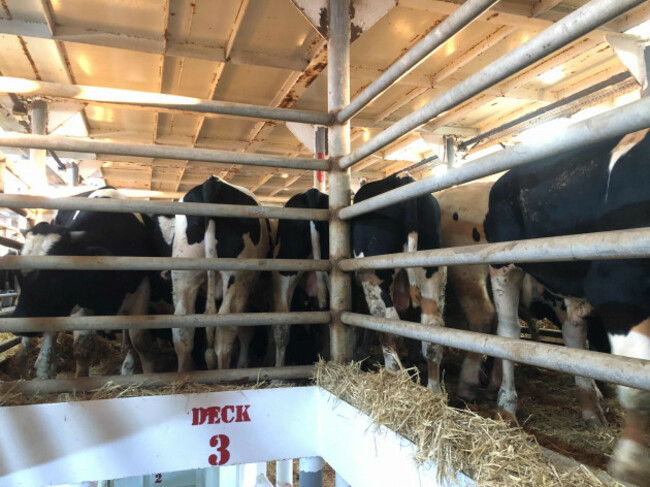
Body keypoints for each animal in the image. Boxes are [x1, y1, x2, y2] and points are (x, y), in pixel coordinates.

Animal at [14, 189, 154, 380]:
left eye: (55, 275)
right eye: (18, 274)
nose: (20, 320)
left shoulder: (142, 290)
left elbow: (140, 341)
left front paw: (141, 371)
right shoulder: (81, 304)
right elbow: (83, 346)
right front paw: (81, 378)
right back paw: (41, 365)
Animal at [171, 177, 270, 372]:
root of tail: (213, 182)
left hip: (184, 275)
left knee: (182, 330)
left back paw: (183, 373)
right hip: (237, 278)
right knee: (224, 333)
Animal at [350, 173, 446, 392]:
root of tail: (402, 178)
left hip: (373, 278)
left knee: (389, 326)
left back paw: (394, 376)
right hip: (432, 273)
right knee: (431, 333)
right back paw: (434, 391)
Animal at [484, 129, 644, 484]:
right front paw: (634, 459)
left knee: (574, 335)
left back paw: (592, 407)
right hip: (505, 265)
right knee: (508, 332)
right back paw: (506, 404)